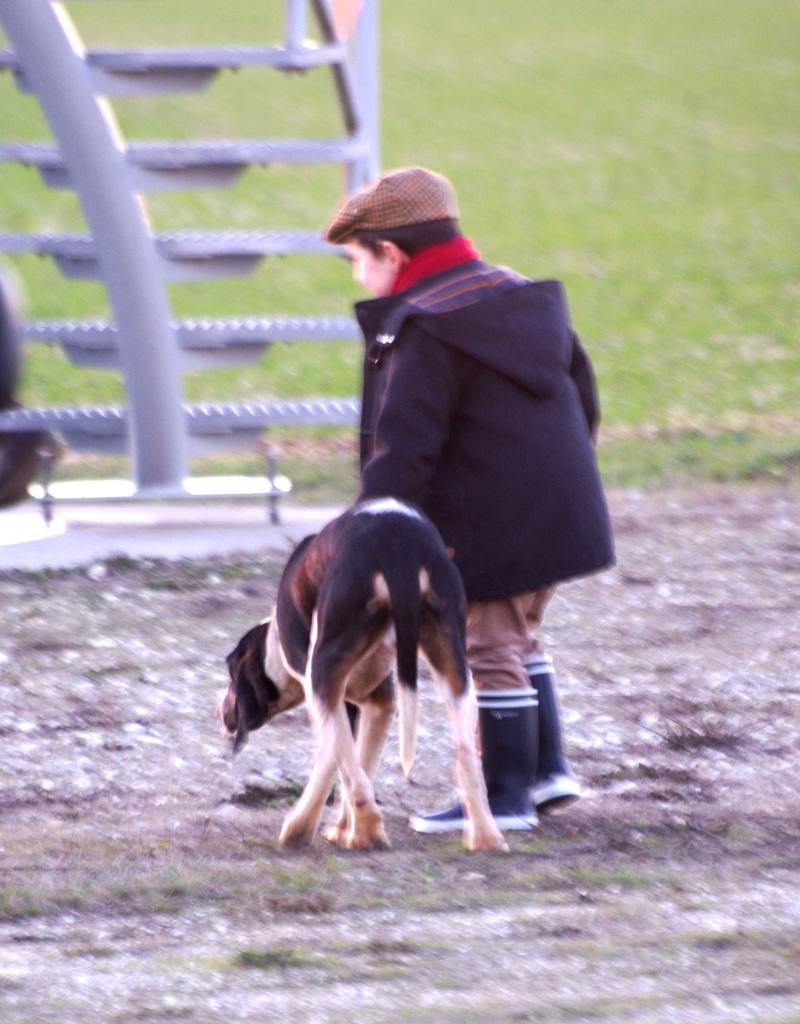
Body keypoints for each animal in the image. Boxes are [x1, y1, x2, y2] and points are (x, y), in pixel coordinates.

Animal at [218, 499, 506, 851]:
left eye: (231, 677)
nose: (220, 711)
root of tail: (401, 546)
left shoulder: (326, 693)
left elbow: (338, 763)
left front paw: (308, 828)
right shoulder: (378, 703)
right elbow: (358, 761)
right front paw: (342, 828)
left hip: (323, 673)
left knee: (354, 779)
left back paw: (360, 832)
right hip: (457, 672)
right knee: (466, 758)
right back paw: (485, 837)